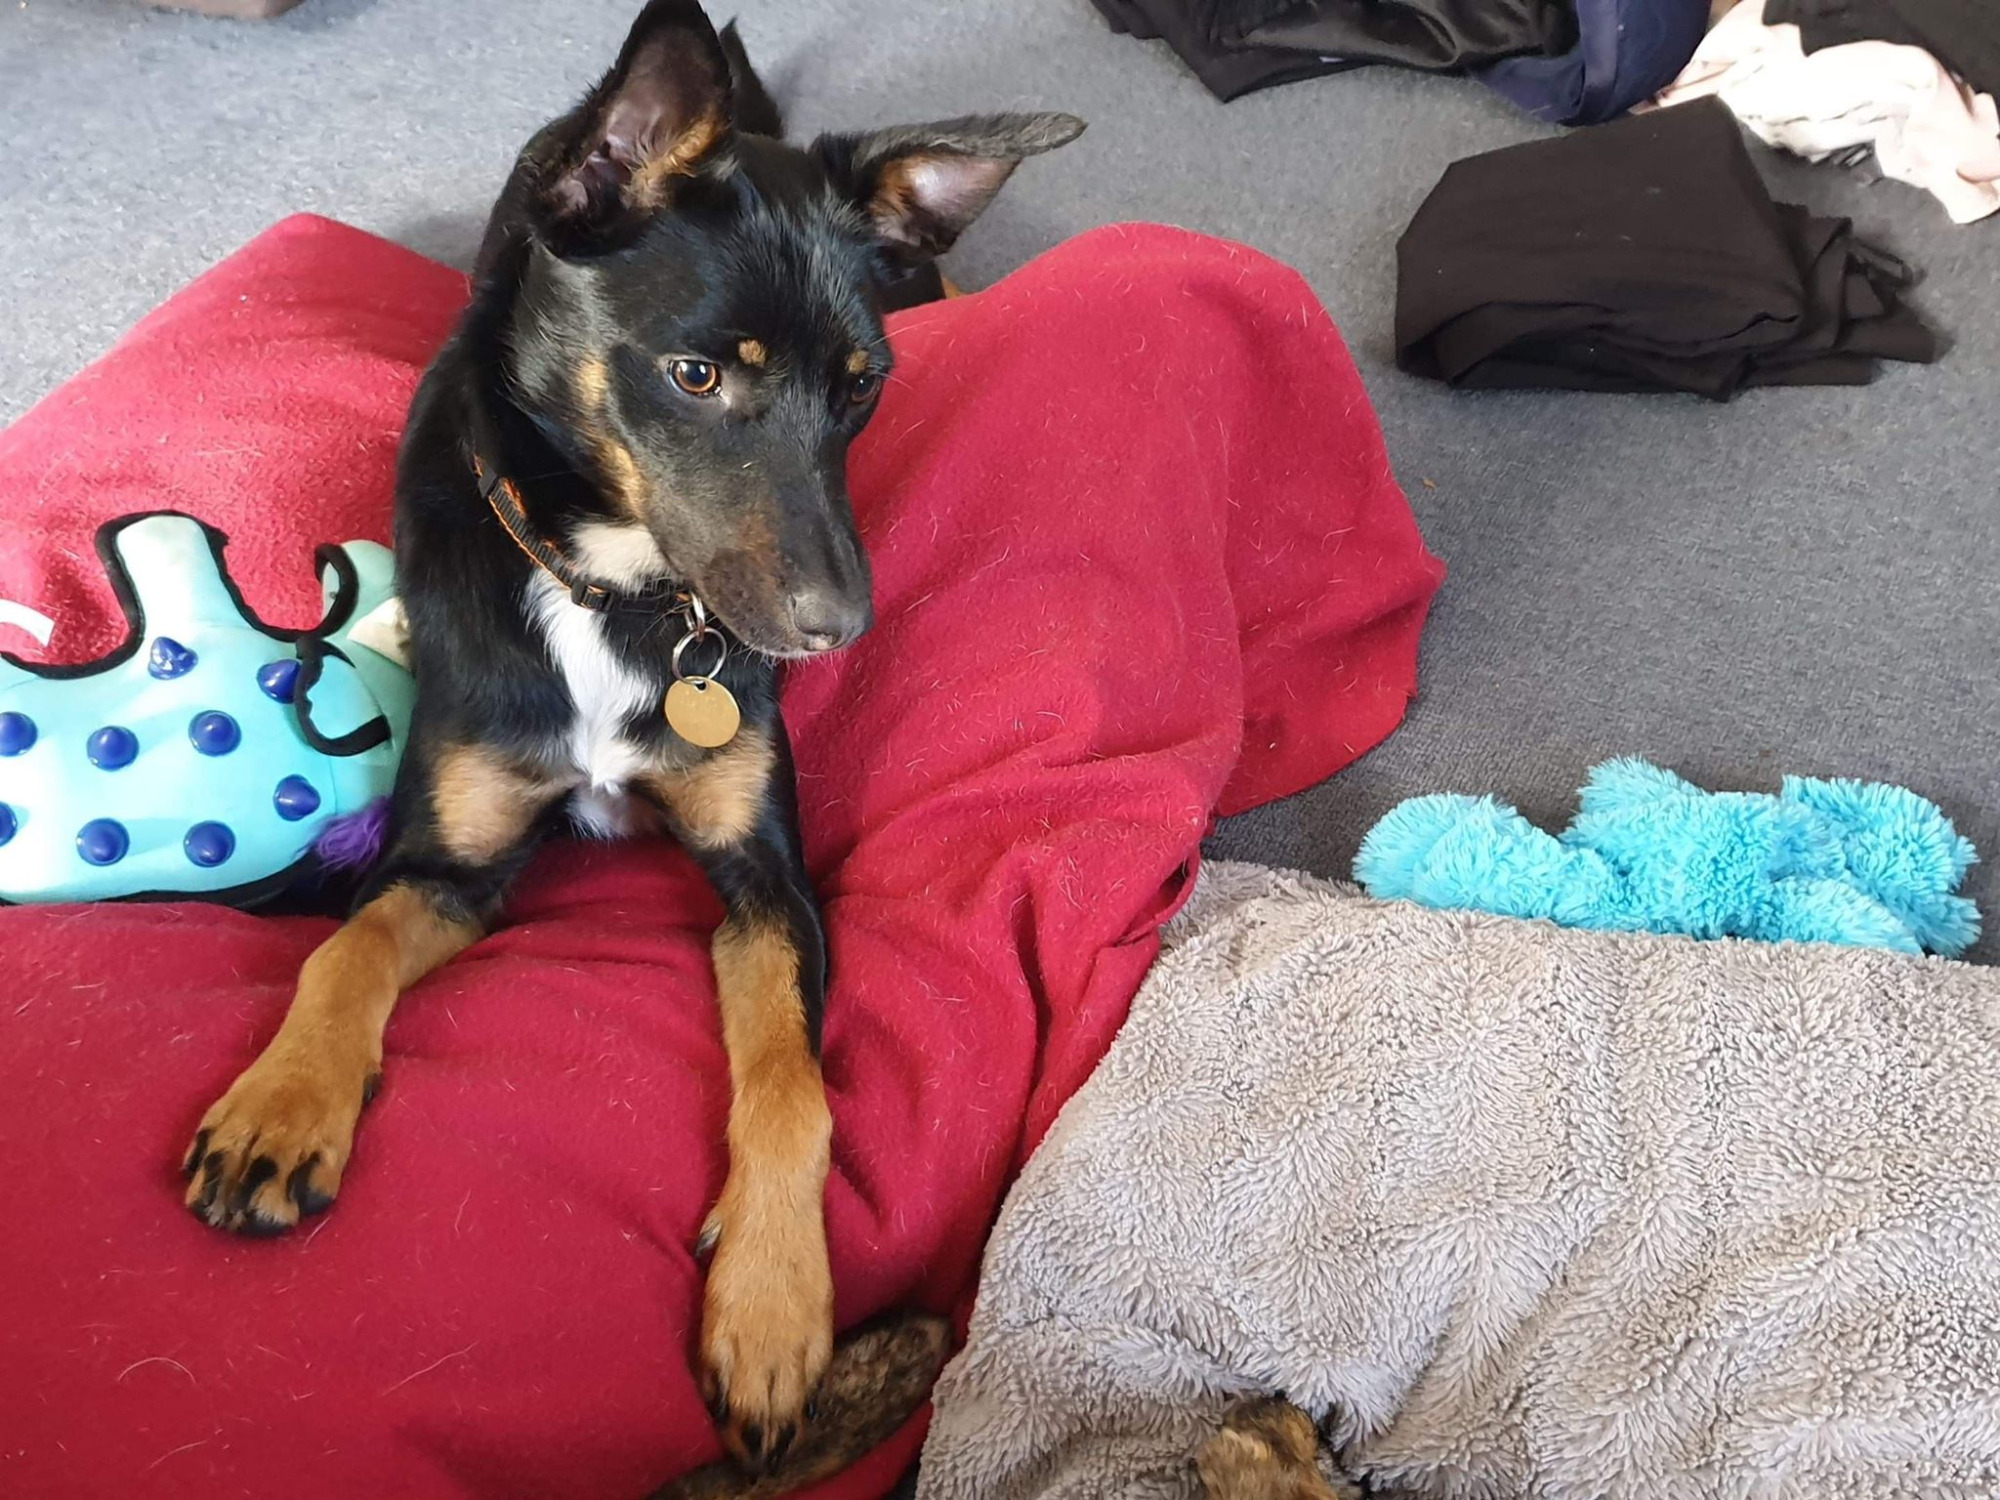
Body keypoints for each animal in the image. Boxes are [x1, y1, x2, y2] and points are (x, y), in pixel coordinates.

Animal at [178, 0, 1081, 1472]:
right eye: (698, 374)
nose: (835, 629)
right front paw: (282, 1107)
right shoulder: (451, 861)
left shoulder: (769, 882)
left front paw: (770, 1307)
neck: (613, 587)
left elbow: (793, 1085)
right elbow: (346, 946)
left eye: (864, 391)